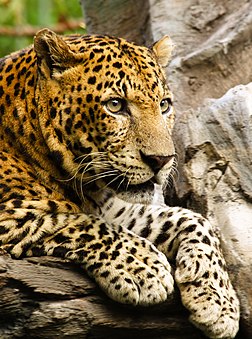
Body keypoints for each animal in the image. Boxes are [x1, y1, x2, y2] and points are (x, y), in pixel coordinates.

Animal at [0, 28, 240, 338]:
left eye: (164, 105)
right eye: (115, 105)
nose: (162, 160)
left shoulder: (113, 207)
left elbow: (191, 219)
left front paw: (219, 301)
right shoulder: (11, 215)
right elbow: (77, 222)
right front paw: (145, 268)